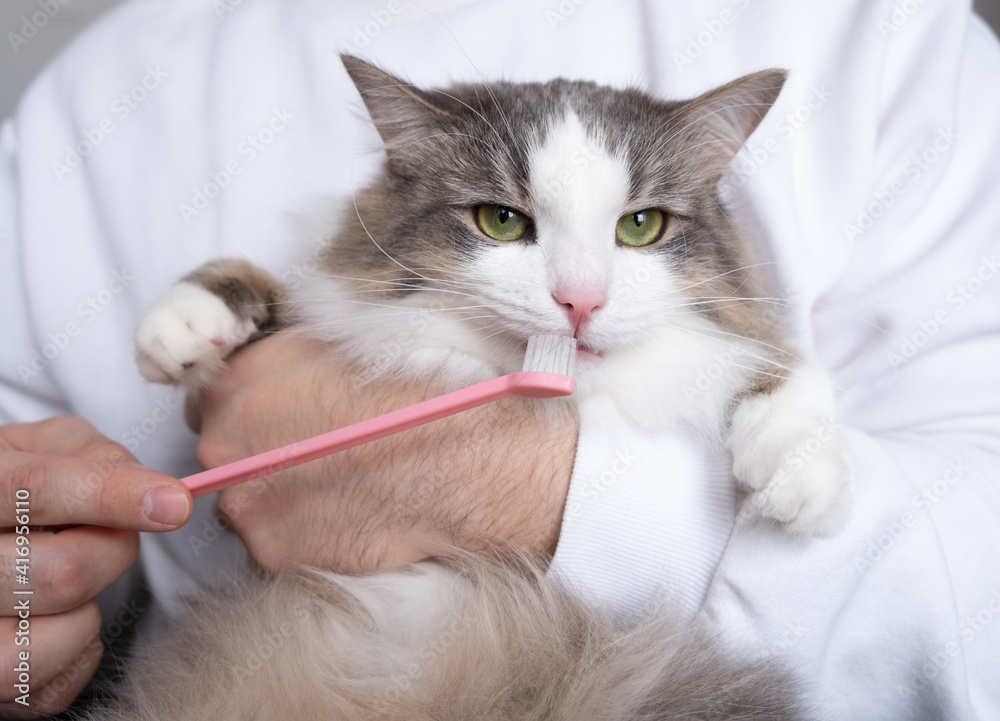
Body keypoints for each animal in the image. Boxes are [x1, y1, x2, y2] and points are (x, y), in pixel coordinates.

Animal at [107, 53, 852, 716]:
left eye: (641, 226)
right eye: (502, 221)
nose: (580, 301)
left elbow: (787, 363)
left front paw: (803, 472)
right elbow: (270, 290)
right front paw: (182, 323)